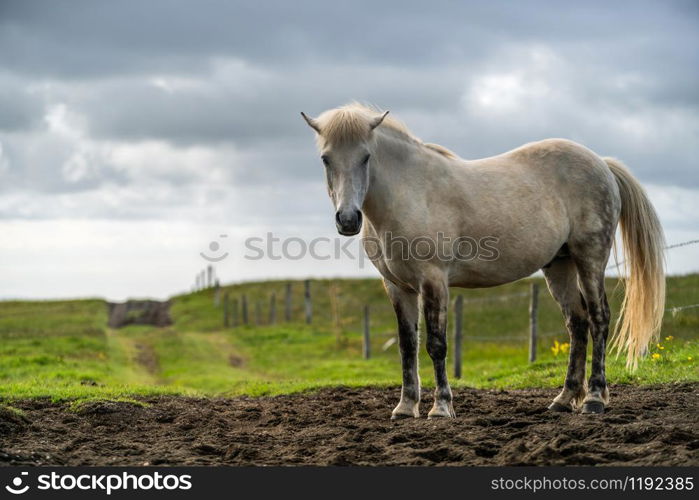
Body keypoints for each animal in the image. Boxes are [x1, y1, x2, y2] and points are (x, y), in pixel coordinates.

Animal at [302, 103, 668, 420]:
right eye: (325, 159)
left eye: (366, 157)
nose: (348, 220)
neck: (410, 194)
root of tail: (601, 163)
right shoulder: (397, 287)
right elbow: (408, 346)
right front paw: (405, 408)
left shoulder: (434, 281)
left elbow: (436, 344)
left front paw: (441, 407)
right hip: (559, 265)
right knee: (577, 324)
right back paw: (564, 400)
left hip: (590, 257)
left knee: (599, 319)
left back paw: (593, 399)